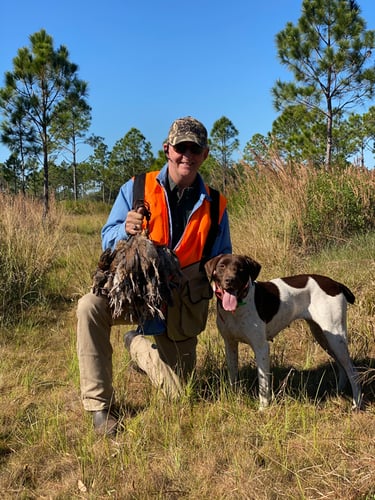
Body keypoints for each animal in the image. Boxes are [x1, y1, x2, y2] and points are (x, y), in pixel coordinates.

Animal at [206, 254, 364, 410]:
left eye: (241, 268)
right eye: (222, 266)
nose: (230, 281)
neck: (238, 306)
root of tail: (335, 283)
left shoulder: (261, 347)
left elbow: (263, 383)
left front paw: (263, 408)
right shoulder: (230, 344)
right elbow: (233, 375)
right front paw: (233, 398)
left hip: (335, 337)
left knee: (352, 371)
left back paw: (356, 403)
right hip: (323, 336)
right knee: (342, 366)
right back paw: (338, 391)